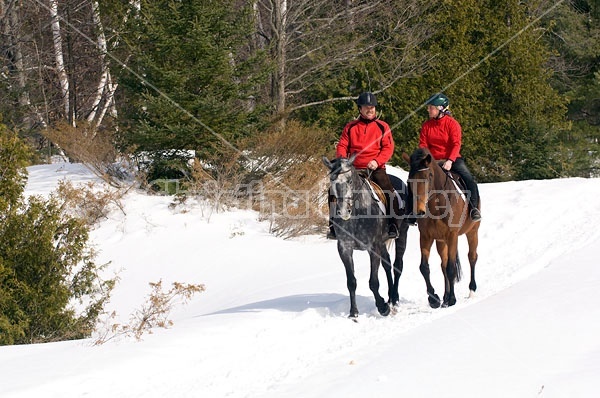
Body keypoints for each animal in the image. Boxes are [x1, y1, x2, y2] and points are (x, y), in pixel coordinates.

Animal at [324, 155, 408, 318]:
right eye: (332, 181)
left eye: (350, 181)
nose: (343, 211)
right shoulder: (344, 248)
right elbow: (351, 281)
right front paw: (353, 313)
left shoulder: (373, 247)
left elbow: (373, 282)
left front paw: (382, 307)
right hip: (382, 243)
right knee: (387, 264)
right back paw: (390, 297)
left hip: (402, 235)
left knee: (397, 266)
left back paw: (394, 300)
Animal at [400, 148, 480, 306]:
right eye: (409, 180)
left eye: (429, 176)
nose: (419, 211)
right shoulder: (426, 237)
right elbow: (424, 267)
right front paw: (434, 299)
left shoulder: (452, 235)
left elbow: (451, 268)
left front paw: (453, 299)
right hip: (441, 241)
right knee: (443, 264)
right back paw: (445, 297)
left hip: (472, 232)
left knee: (472, 257)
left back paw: (471, 291)